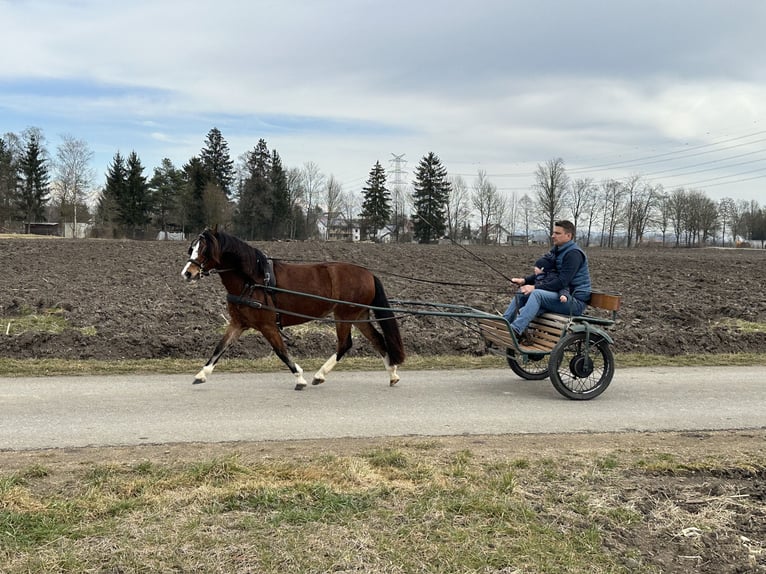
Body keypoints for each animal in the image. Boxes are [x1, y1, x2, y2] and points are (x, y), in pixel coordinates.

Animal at [182, 227, 408, 390]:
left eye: (204, 249)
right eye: (192, 248)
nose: (187, 273)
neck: (254, 280)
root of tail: (368, 273)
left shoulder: (268, 325)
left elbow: (281, 351)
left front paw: (300, 378)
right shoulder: (238, 323)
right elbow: (220, 347)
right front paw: (201, 374)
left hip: (344, 315)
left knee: (345, 344)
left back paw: (319, 375)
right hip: (359, 315)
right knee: (377, 340)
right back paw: (392, 374)